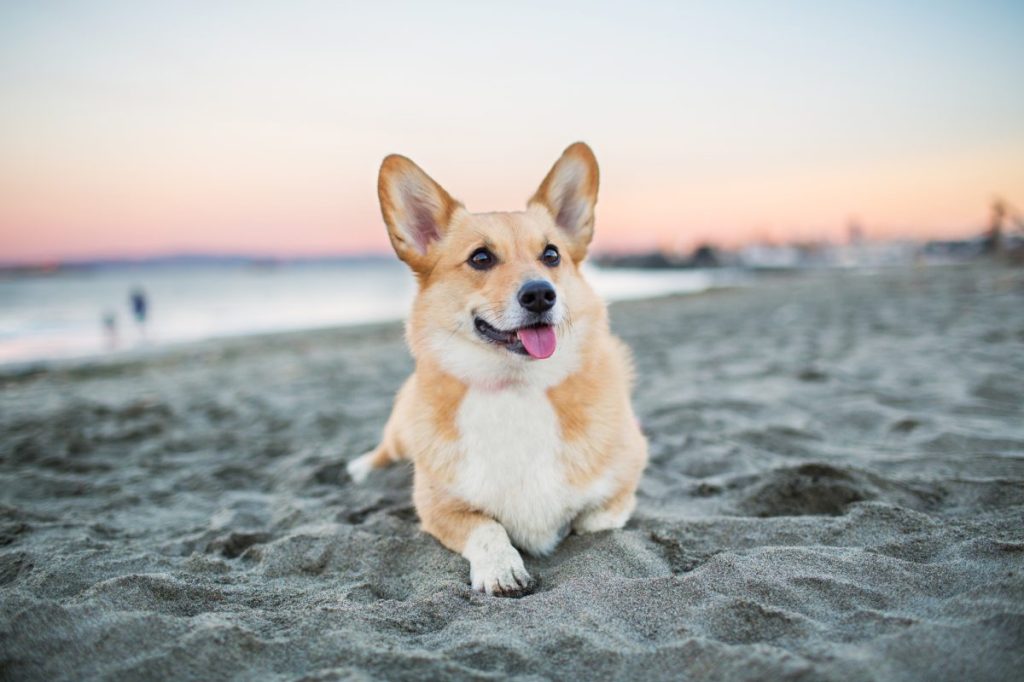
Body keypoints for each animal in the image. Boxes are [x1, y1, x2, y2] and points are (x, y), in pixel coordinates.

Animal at [348, 140, 643, 593]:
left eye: (551, 255)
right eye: (481, 258)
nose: (540, 294)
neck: (515, 387)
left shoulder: (625, 481)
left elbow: (597, 521)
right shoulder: (438, 507)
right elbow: (487, 527)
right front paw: (502, 569)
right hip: (400, 430)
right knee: (386, 447)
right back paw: (362, 467)